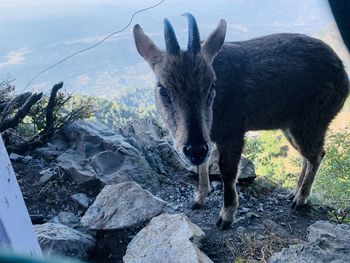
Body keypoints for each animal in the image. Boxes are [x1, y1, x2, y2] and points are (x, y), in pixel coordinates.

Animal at [133, 13, 348, 230]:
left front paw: (226, 216)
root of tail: (343, 75)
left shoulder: (233, 133)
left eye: (212, 85)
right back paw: (294, 192)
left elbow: (227, 171)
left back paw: (300, 199)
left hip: (310, 122)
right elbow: (202, 165)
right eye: (162, 88)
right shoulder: (206, 140)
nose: (193, 149)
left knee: (317, 155)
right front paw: (198, 198)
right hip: (291, 126)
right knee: (309, 156)